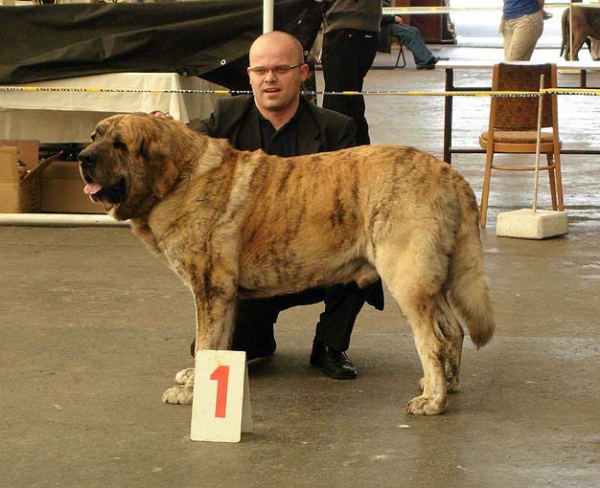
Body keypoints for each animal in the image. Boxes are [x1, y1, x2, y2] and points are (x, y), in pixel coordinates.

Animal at [77, 113, 494, 416]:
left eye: (119, 144)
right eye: (95, 135)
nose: (82, 157)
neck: (181, 177)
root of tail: (449, 174)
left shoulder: (210, 290)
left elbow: (206, 341)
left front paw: (193, 393)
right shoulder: (223, 296)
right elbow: (216, 343)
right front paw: (203, 379)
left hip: (407, 279)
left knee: (432, 339)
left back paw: (433, 401)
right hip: (432, 281)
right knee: (453, 330)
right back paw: (447, 384)